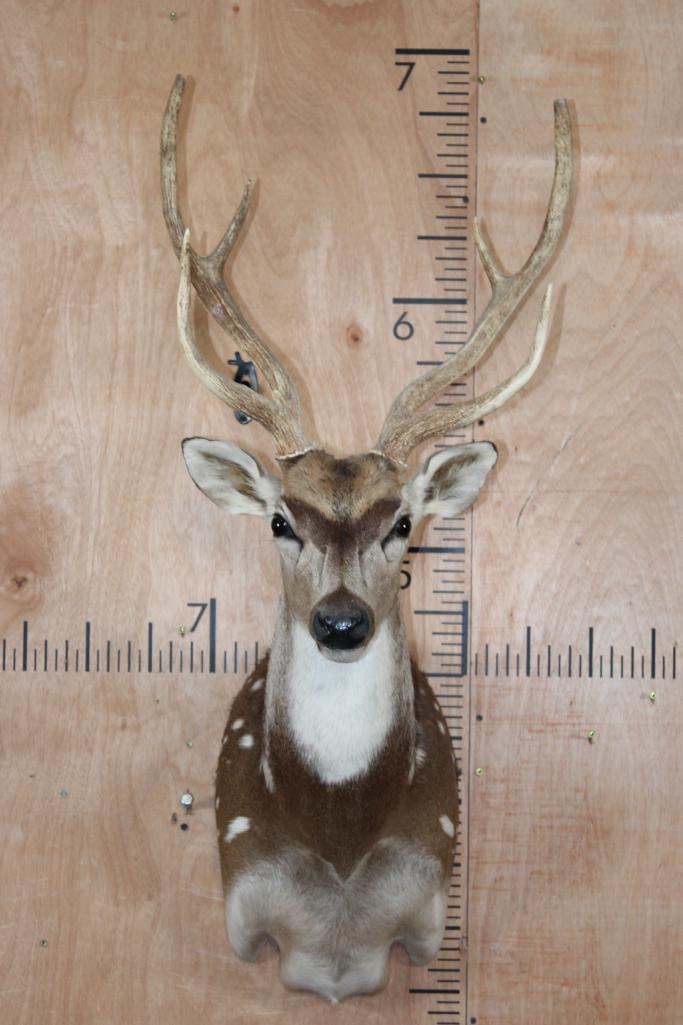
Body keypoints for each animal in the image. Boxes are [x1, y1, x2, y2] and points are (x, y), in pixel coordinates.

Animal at [160, 75, 572, 1003]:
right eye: (280, 519)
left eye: (403, 522)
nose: (341, 621)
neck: (340, 840)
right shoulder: (242, 908)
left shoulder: (428, 905)